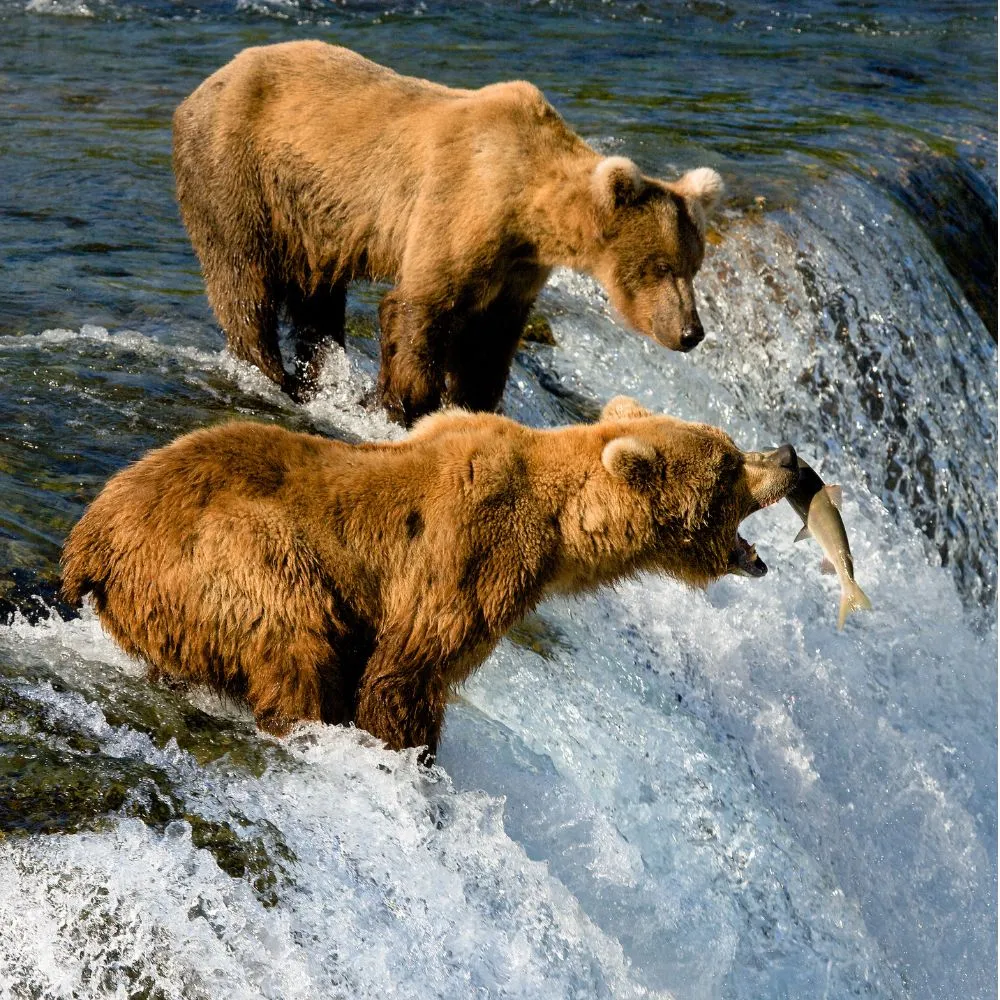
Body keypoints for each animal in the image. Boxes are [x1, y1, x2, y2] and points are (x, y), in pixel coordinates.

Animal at [60, 398, 798, 758]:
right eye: (730, 464)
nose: (789, 455)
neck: (562, 526)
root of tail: (90, 540)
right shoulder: (471, 557)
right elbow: (407, 672)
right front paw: (410, 750)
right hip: (227, 557)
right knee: (296, 644)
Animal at [172, 41, 724, 424]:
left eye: (693, 266)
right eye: (660, 266)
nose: (690, 332)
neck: (524, 203)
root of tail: (204, 84)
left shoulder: (517, 267)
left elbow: (491, 341)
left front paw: (469, 403)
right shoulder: (456, 205)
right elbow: (419, 309)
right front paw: (401, 405)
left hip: (313, 221)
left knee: (317, 298)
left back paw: (317, 378)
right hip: (236, 173)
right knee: (244, 282)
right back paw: (273, 376)